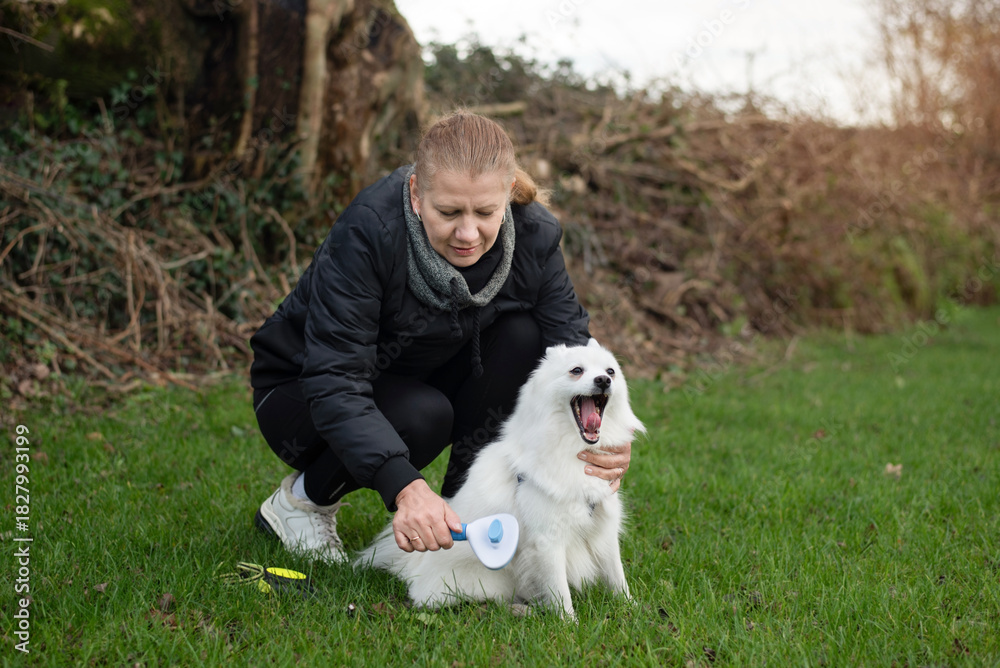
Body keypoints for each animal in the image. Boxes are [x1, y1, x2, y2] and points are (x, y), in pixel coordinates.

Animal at [358, 338, 645, 619]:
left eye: (610, 372)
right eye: (577, 370)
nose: (603, 381)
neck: (574, 449)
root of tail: (414, 569)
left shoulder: (604, 527)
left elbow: (617, 576)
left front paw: (631, 610)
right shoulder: (548, 539)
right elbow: (561, 593)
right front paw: (569, 625)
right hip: (491, 579)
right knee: (483, 603)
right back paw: (522, 610)